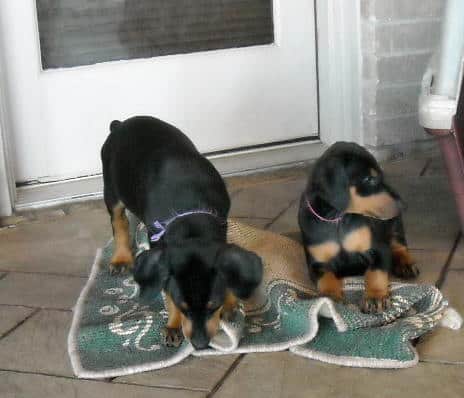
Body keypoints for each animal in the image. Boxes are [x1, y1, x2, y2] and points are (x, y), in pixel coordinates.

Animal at [101, 115, 262, 348]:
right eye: (183, 306)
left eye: (214, 305)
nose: (200, 344)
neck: (189, 217)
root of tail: (120, 124)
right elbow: (168, 291)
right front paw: (173, 326)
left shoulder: (222, 225)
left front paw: (231, 304)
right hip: (111, 189)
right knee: (119, 222)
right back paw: (121, 259)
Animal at [300, 141, 418, 312]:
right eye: (369, 179)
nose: (404, 206)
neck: (337, 219)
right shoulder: (317, 264)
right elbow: (325, 277)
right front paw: (330, 296)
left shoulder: (380, 249)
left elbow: (375, 272)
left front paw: (375, 296)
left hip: (395, 226)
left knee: (399, 245)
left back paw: (406, 264)